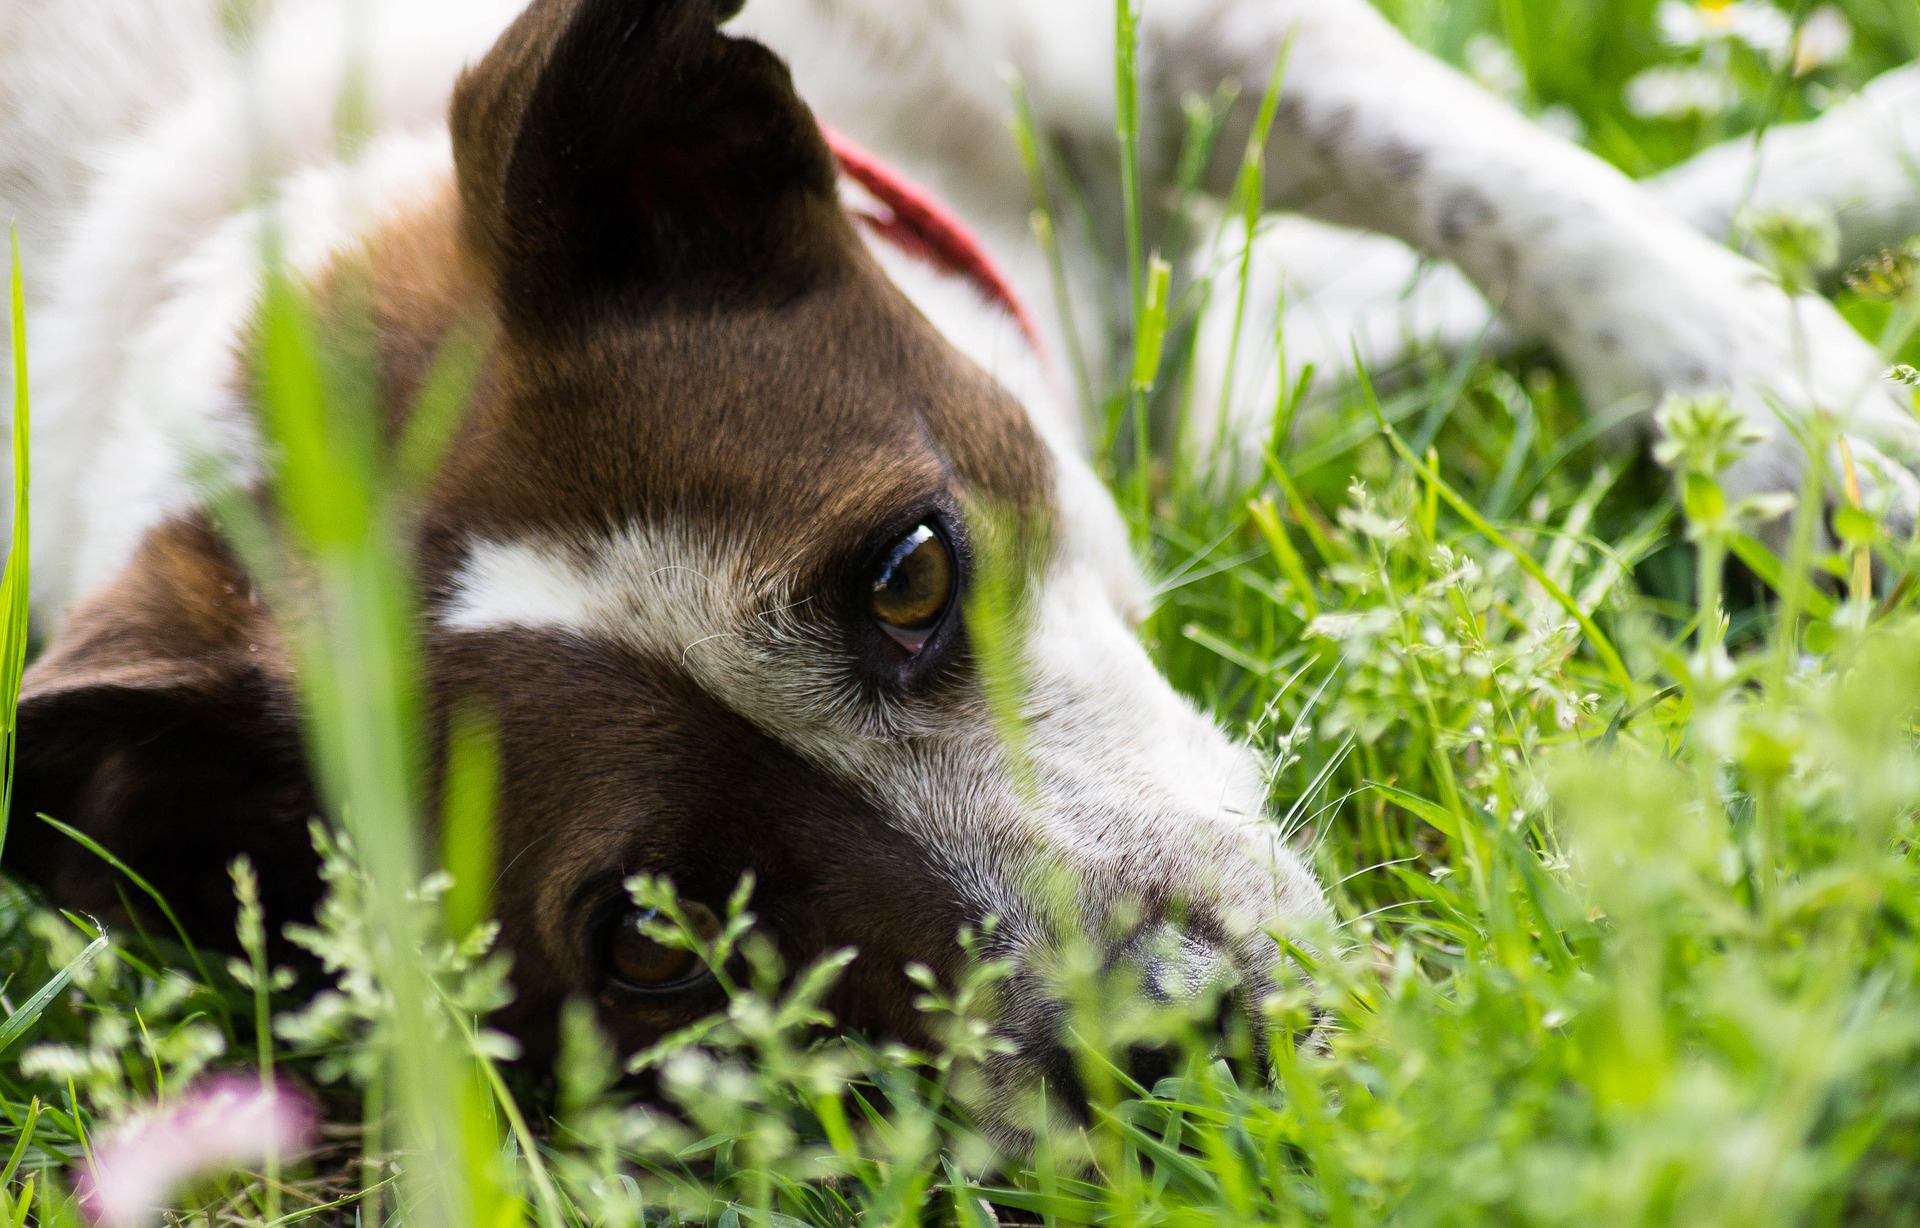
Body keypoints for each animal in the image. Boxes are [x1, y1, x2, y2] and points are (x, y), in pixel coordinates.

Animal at [0, 0, 1912, 1112]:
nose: (1182, 1043)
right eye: (653, 944)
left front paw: (1804, 417)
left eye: (910, 573)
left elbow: (1524, 196)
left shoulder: (1171, 40)